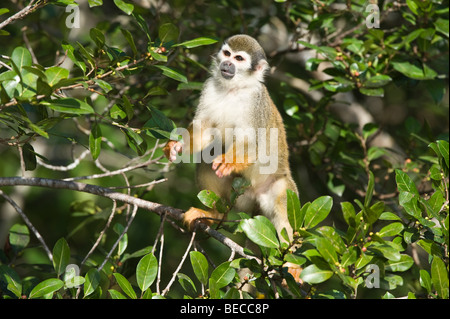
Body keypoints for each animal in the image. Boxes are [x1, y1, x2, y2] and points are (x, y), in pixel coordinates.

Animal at [165, 33, 298, 241]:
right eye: (227, 54)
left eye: (239, 58)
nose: (227, 63)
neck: (233, 89)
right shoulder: (209, 86)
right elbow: (203, 129)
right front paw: (176, 146)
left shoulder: (256, 100)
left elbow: (253, 141)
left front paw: (229, 161)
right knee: (208, 160)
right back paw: (214, 214)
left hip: (278, 187)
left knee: (282, 204)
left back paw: (288, 250)